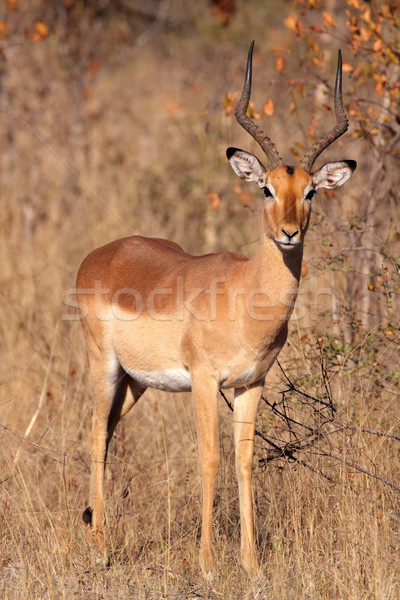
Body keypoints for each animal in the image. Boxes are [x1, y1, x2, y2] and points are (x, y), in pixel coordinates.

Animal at [76, 41, 354, 576]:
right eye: (266, 188)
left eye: (310, 191)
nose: (289, 232)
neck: (243, 296)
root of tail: (100, 255)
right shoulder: (205, 381)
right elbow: (209, 458)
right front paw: (206, 562)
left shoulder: (251, 384)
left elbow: (244, 461)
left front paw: (251, 563)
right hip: (105, 365)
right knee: (96, 432)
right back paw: (98, 547)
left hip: (136, 382)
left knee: (109, 431)